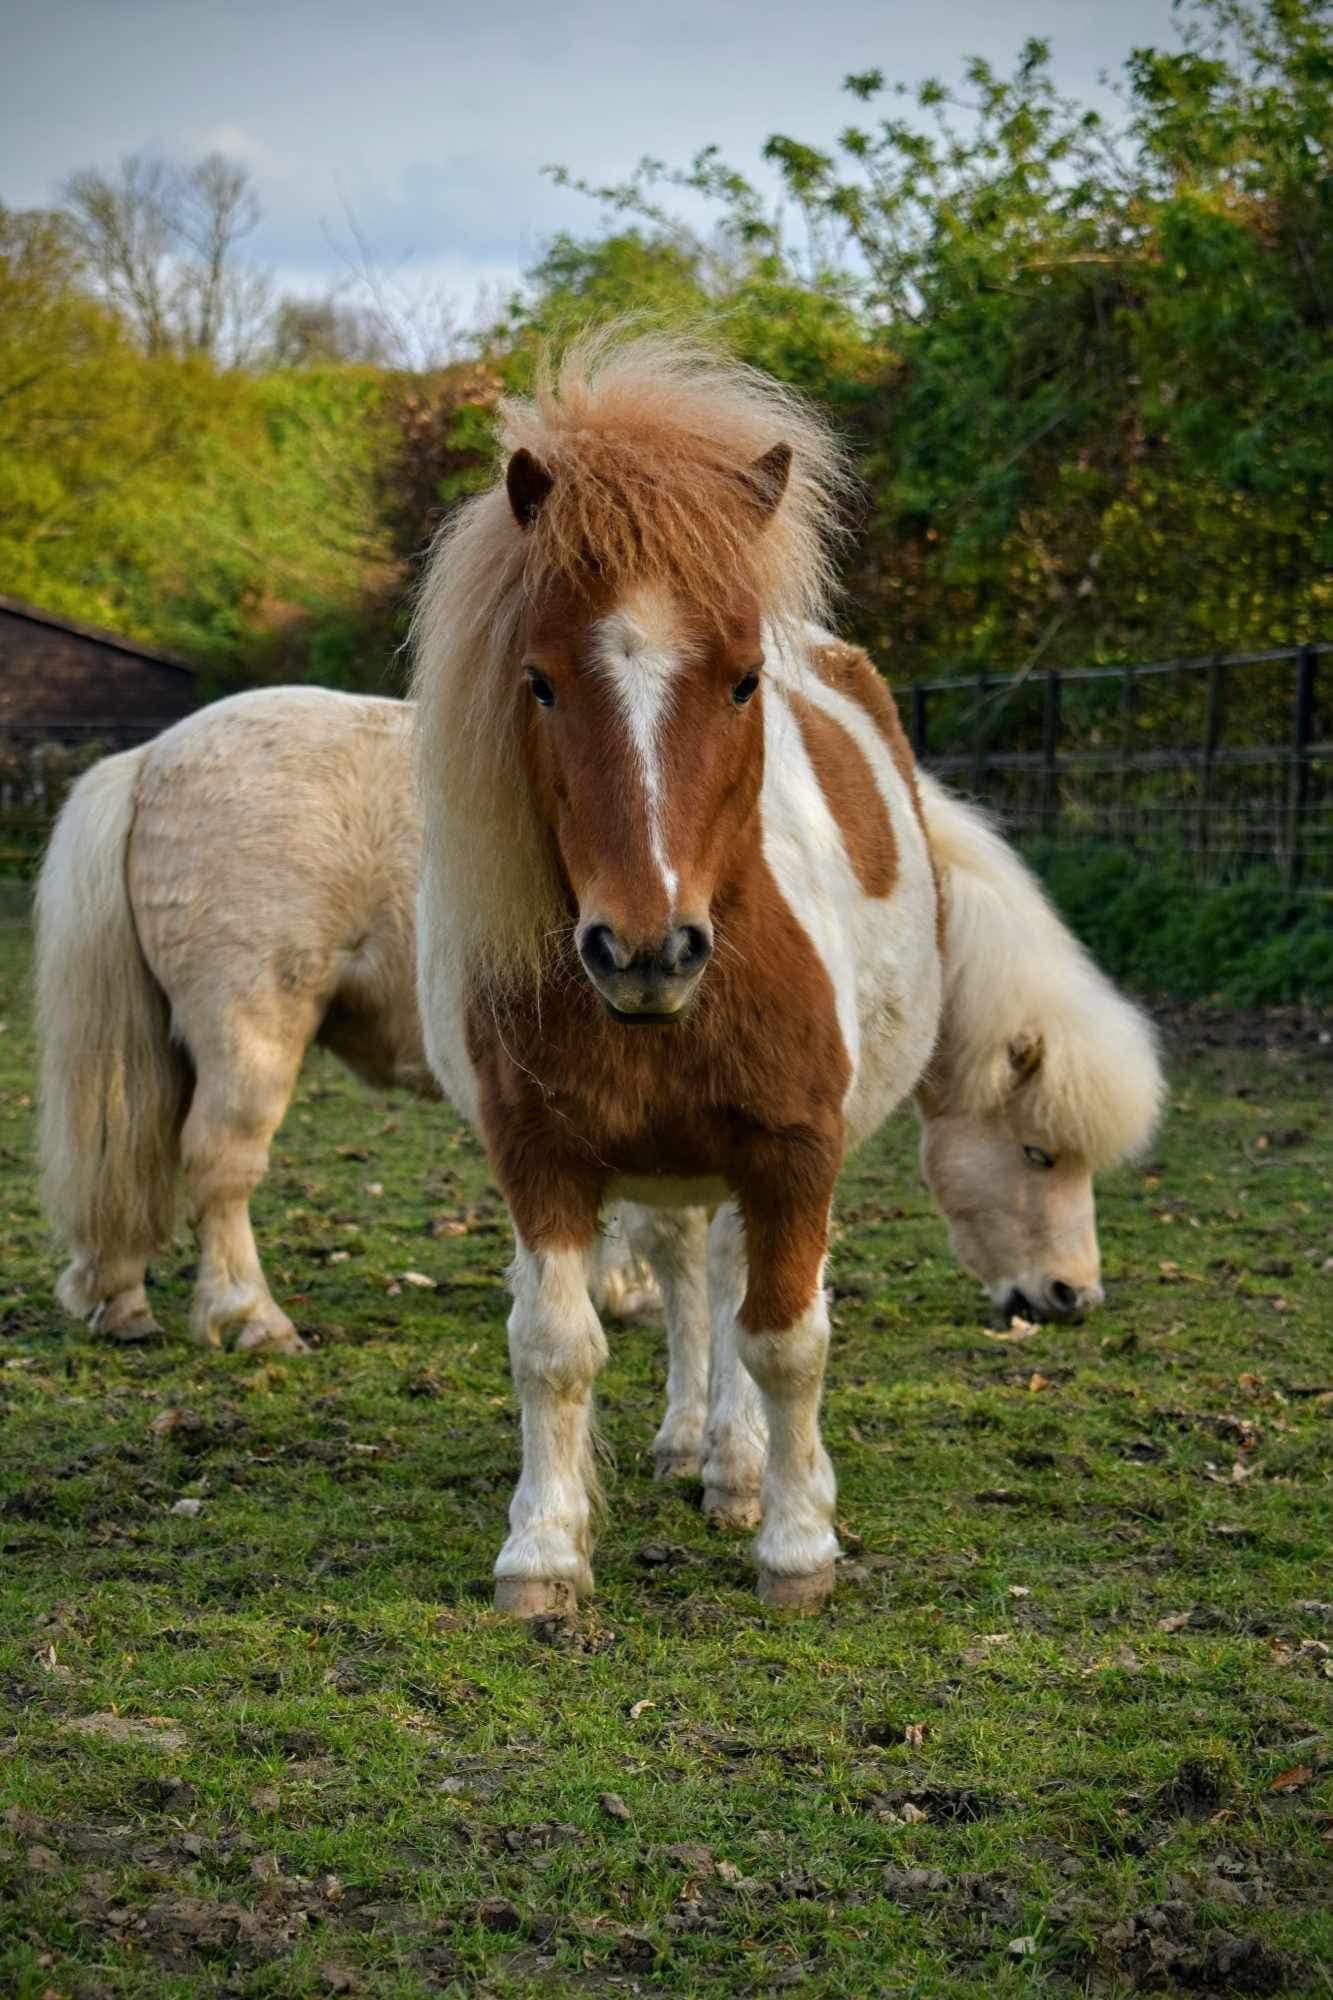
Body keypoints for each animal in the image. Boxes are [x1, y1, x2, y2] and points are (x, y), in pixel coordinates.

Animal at [410, 328, 1160, 1608]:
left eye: (742, 679)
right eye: (540, 681)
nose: (645, 949)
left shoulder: (795, 1151)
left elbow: (786, 1337)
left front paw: (796, 1539)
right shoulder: (539, 1153)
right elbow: (554, 1344)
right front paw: (542, 1552)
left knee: (731, 1286)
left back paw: (737, 1468)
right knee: (685, 1273)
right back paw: (689, 1443)